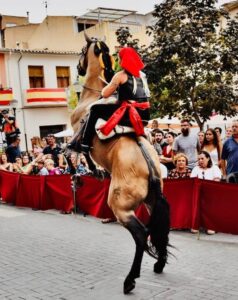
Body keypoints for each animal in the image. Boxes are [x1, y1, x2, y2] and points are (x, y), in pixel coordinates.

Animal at [69, 34, 170, 294]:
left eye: (81, 51)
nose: (78, 68)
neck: (93, 97)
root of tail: (151, 168)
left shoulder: (75, 134)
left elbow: (74, 151)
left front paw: (86, 172)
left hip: (121, 207)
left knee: (142, 234)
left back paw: (130, 280)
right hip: (150, 202)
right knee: (160, 230)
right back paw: (159, 264)